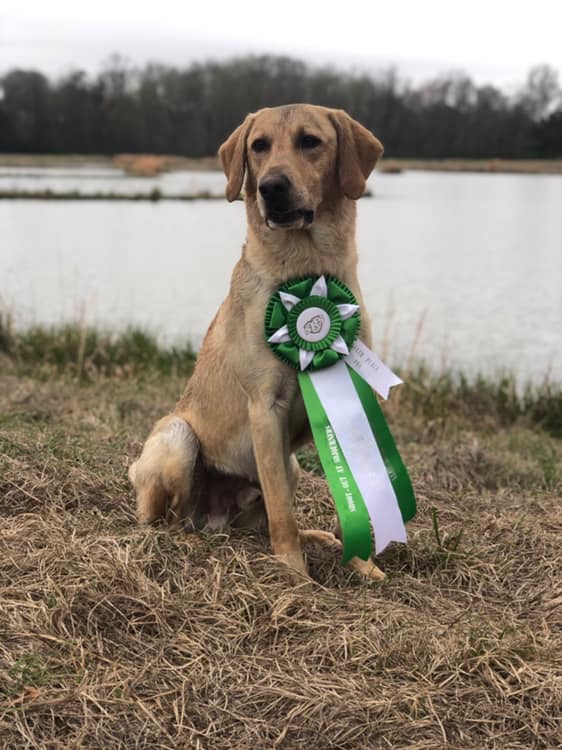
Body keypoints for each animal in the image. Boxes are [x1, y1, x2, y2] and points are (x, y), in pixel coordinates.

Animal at [130, 104, 384, 580]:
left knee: (261, 520)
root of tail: (212, 520)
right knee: (167, 521)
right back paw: (188, 539)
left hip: (290, 466)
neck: (307, 266)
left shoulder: (346, 399)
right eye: (259, 146)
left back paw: (316, 537)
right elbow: (282, 514)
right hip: (178, 438)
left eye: (310, 141)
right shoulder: (265, 406)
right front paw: (294, 573)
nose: (272, 187)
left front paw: (362, 562)